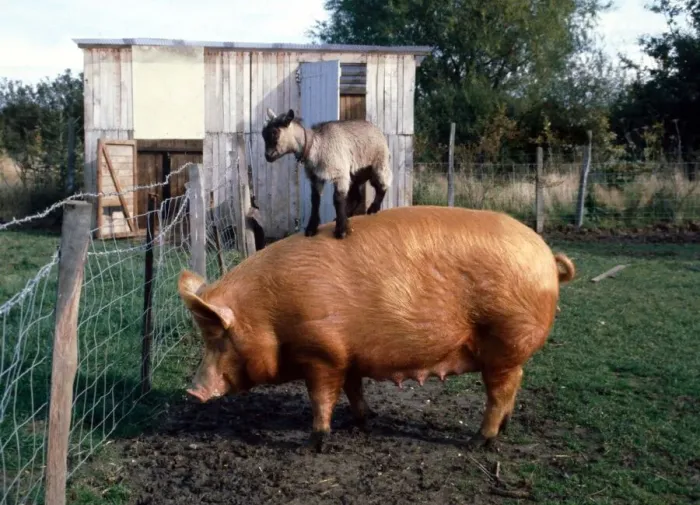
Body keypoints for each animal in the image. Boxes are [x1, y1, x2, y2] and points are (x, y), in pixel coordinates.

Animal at [178, 205, 576, 452]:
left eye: (219, 337)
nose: (191, 392)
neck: (269, 313)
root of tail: (546, 255)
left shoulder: (321, 355)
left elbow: (321, 399)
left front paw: (314, 444)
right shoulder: (346, 355)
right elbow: (353, 389)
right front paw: (363, 421)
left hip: (505, 340)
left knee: (500, 392)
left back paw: (478, 442)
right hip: (508, 350)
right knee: (515, 383)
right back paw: (501, 431)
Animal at [261, 108, 392, 239]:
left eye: (275, 133)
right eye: (263, 134)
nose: (268, 156)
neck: (314, 146)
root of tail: (376, 129)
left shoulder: (340, 174)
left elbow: (338, 199)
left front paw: (341, 231)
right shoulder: (316, 177)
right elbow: (315, 200)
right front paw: (311, 229)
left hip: (378, 163)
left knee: (383, 185)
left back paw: (373, 209)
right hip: (356, 173)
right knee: (357, 196)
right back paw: (348, 214)